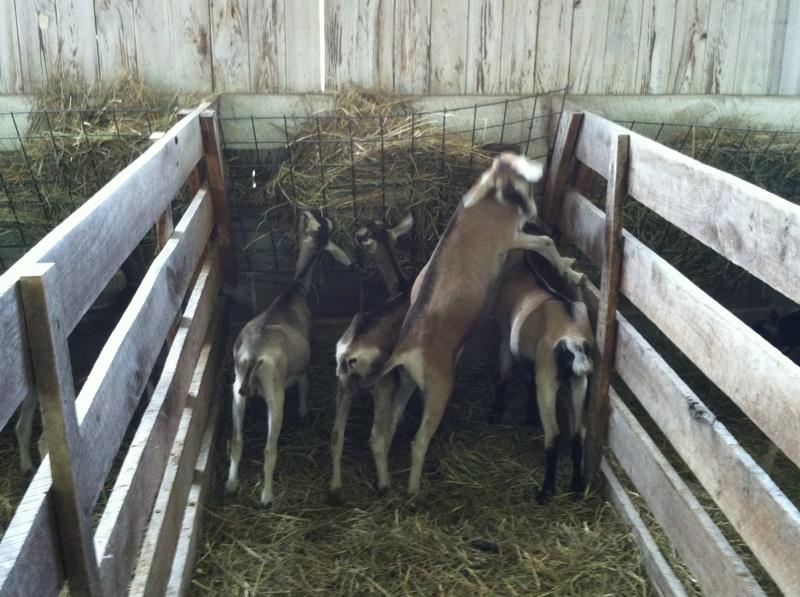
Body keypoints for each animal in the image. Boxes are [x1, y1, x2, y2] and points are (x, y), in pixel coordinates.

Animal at [227, 210, 351, 506]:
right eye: (326, 225)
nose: (311, 211)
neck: (295, 291)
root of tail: (254, 354)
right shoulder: (303, 367)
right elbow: (304, 386)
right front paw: (304, 412)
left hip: (237, 388)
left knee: (236, 441)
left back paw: (231, 485)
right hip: (275, 396)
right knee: (268, 449)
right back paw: (267, 497)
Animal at [329, 215, 416, 502]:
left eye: (369, 233)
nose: (356, 235)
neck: (400, 289)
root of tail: (350, 354)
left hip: (343, 382)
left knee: (336, 435)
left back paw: (335, 488)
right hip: (382, 384)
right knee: (376, 438)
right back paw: (385, 485)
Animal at [378, 153, 585, 494]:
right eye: (515, 185)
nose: (532, 211)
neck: (490, 198)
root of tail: (406, 351)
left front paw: (568, 266)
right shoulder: (511, 238)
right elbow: (545, 241)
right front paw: (572, 272)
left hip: (406, 384)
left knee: (387, 431)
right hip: (438, 390)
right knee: (418, 442)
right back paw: (414, 490)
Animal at [492, 249, 594, 503]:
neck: (519, 267)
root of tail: (573, 339)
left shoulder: (505, 339)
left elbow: (503, 376)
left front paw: (495, 414)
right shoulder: (532, 362)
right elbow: (527, 381)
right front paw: (528, 414)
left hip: (548, 379)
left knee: (554, 435)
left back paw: (545, 491)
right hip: (579, 381)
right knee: (577, 435)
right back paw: (577, 488)